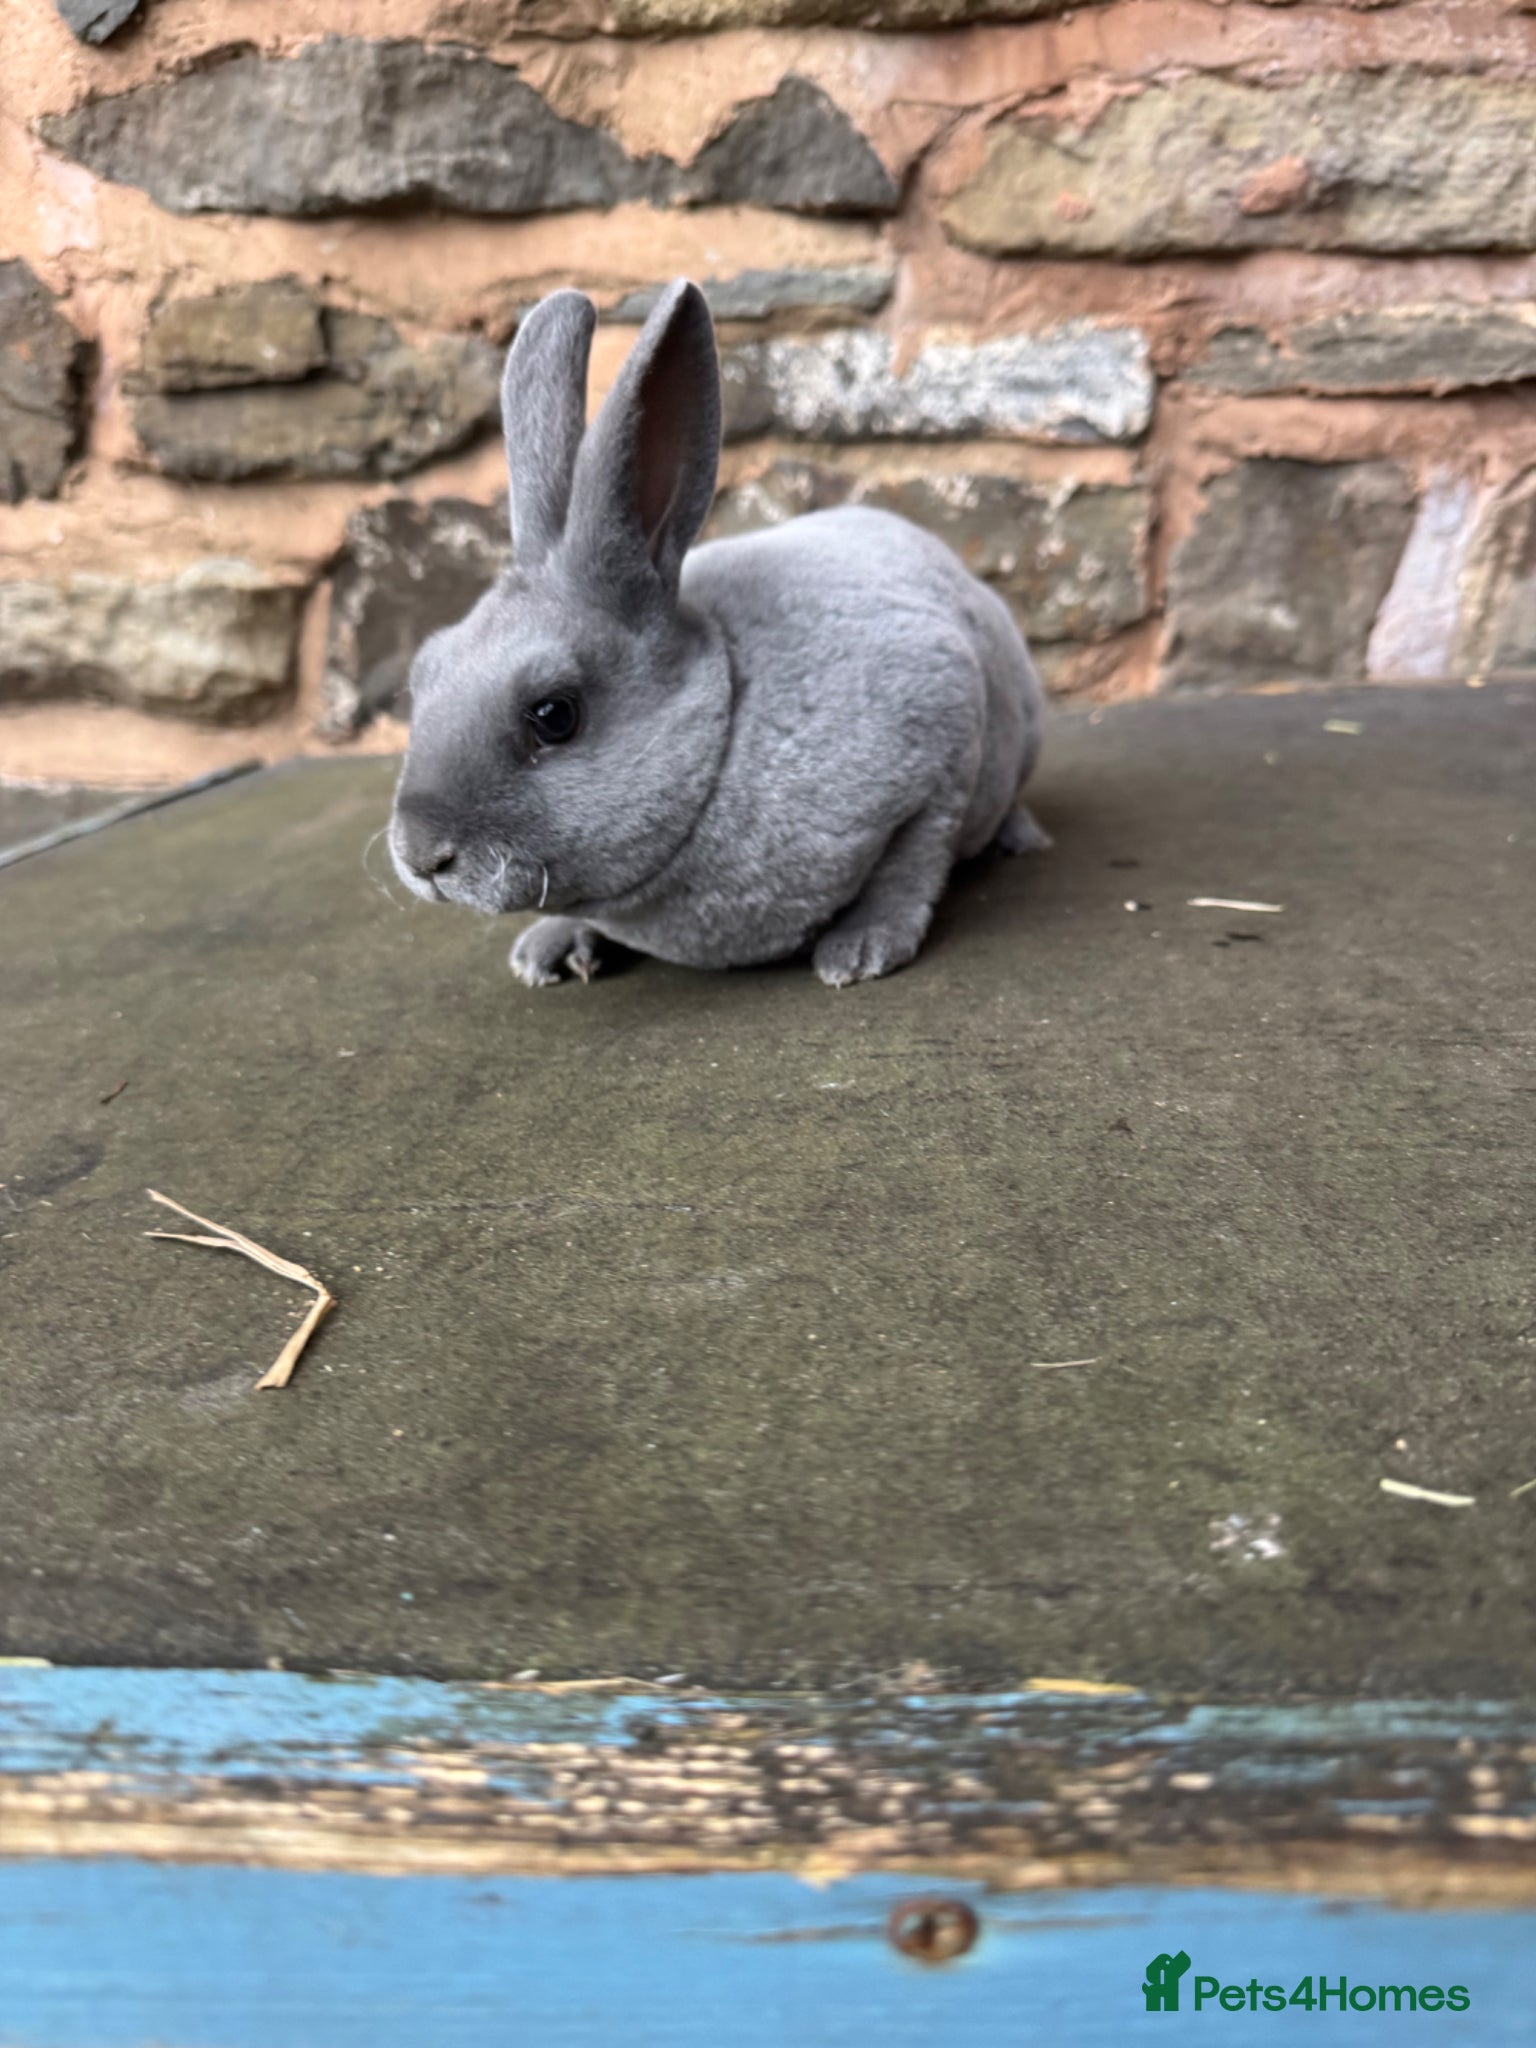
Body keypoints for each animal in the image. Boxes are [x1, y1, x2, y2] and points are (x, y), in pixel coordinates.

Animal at [389, 278, 1048, 989]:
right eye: (423, 674)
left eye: (554, 714)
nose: (421, 856)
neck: (729, 712)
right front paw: (549, 948)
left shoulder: (941, 745)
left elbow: (911, 866)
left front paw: (862, 949)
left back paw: (1019, 839)